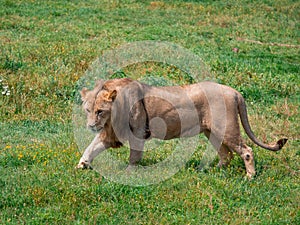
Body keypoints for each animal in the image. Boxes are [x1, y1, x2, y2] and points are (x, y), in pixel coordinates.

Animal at [75, 78, 286, 178]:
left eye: (100, 111)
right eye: (88, 110)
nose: (91, 125)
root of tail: (235, 92)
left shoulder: (138, 133)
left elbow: (134, 156)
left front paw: (129, 173)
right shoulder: (111, 134)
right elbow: (91, 147)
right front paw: (81, 166)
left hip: (226, 129)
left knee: (247, 151)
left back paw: (249, 177)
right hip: (212, 132)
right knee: (226, 154)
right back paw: (212, 171)